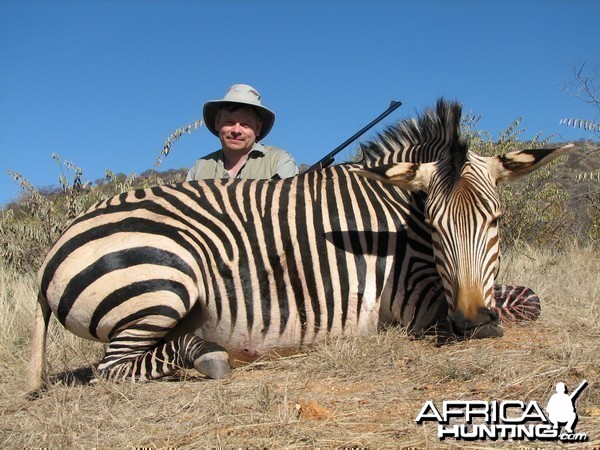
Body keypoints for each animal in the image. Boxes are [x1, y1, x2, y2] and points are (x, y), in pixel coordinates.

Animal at [30, 97, 576, 390]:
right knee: (112, 370)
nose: (470, 320)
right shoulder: (416, 302)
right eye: (436, 226)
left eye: (496, 221)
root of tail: (54, 248)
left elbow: (528, 298)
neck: (398, 217)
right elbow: (512, 309)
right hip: (165, 283)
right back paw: (213, 354)